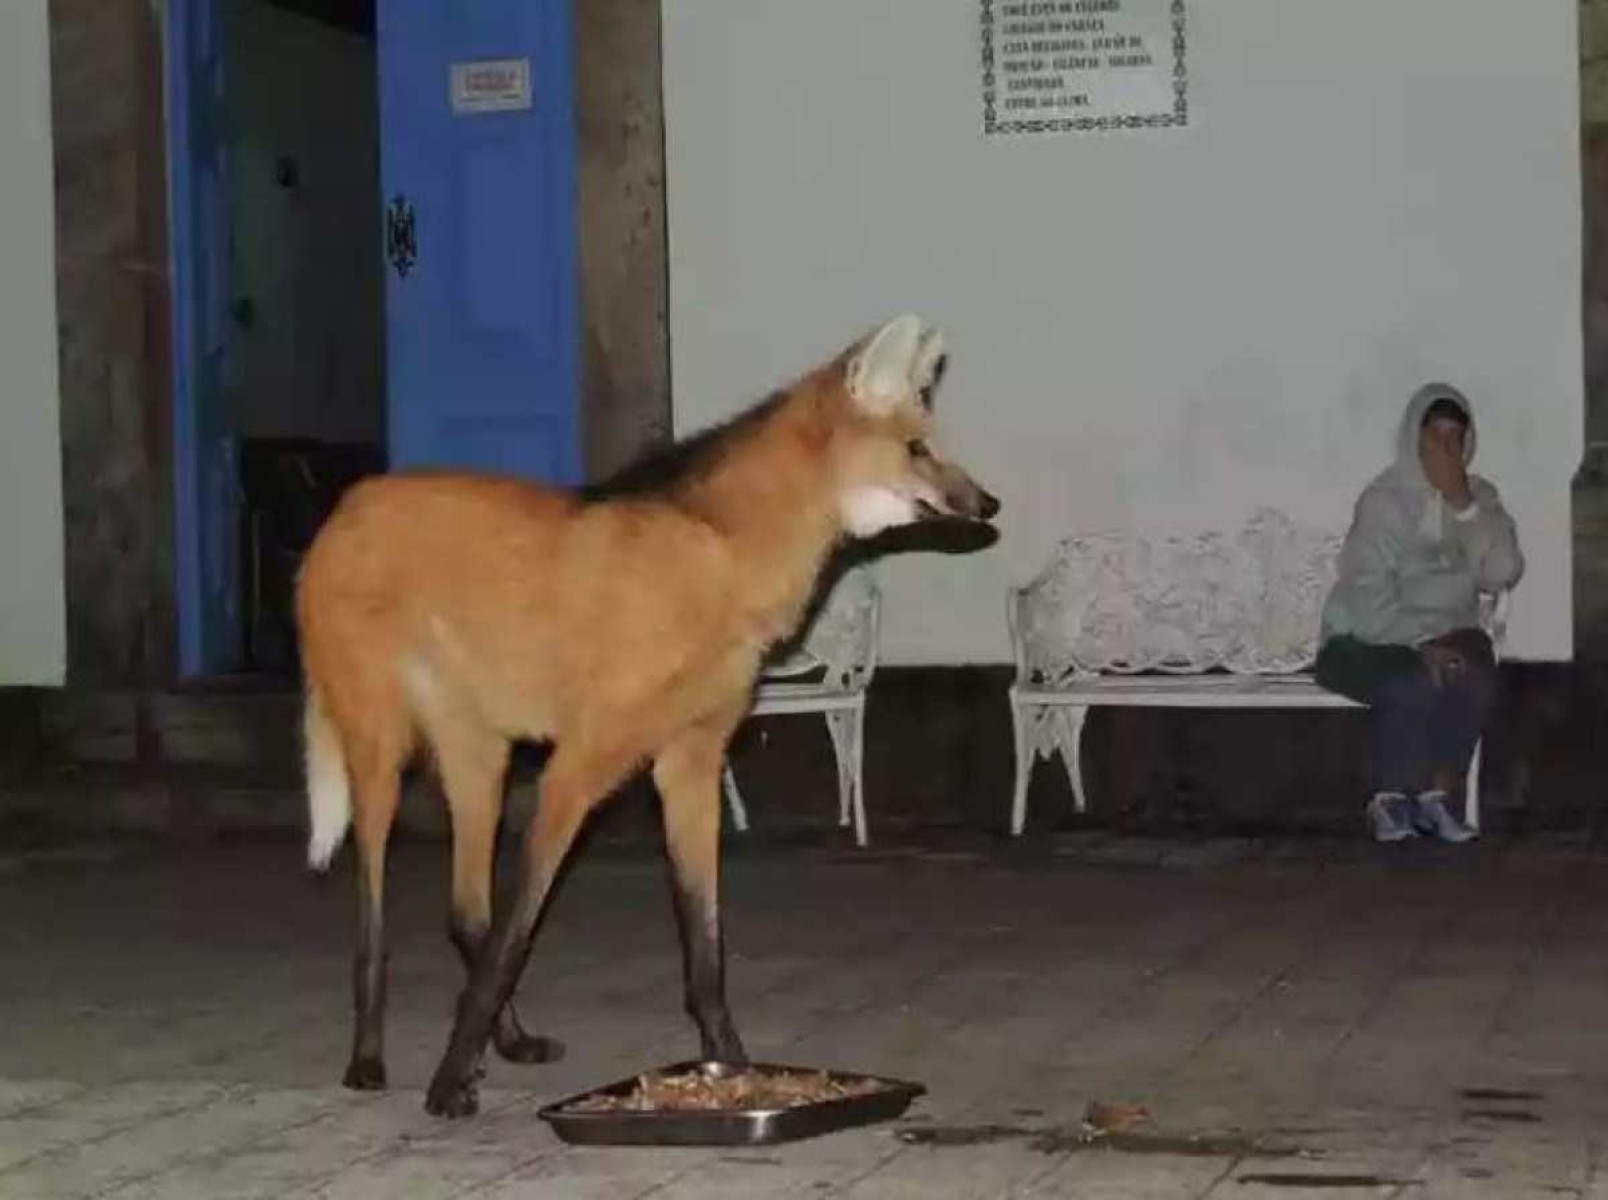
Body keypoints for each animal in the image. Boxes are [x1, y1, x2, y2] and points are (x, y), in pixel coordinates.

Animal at [289, 310, 990, 1113]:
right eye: (918, 450)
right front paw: (446, 1083)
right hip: (380, 753)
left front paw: (733, 1067)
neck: (721, 562)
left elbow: (704, 946)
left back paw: (511, 1042)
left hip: (482, 758)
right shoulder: (576, 770)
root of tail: (344, 508)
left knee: (465, 913)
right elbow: (514, 940)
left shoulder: (690, 764)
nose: (989, 506)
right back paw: (369, 1059)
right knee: (379, 914)